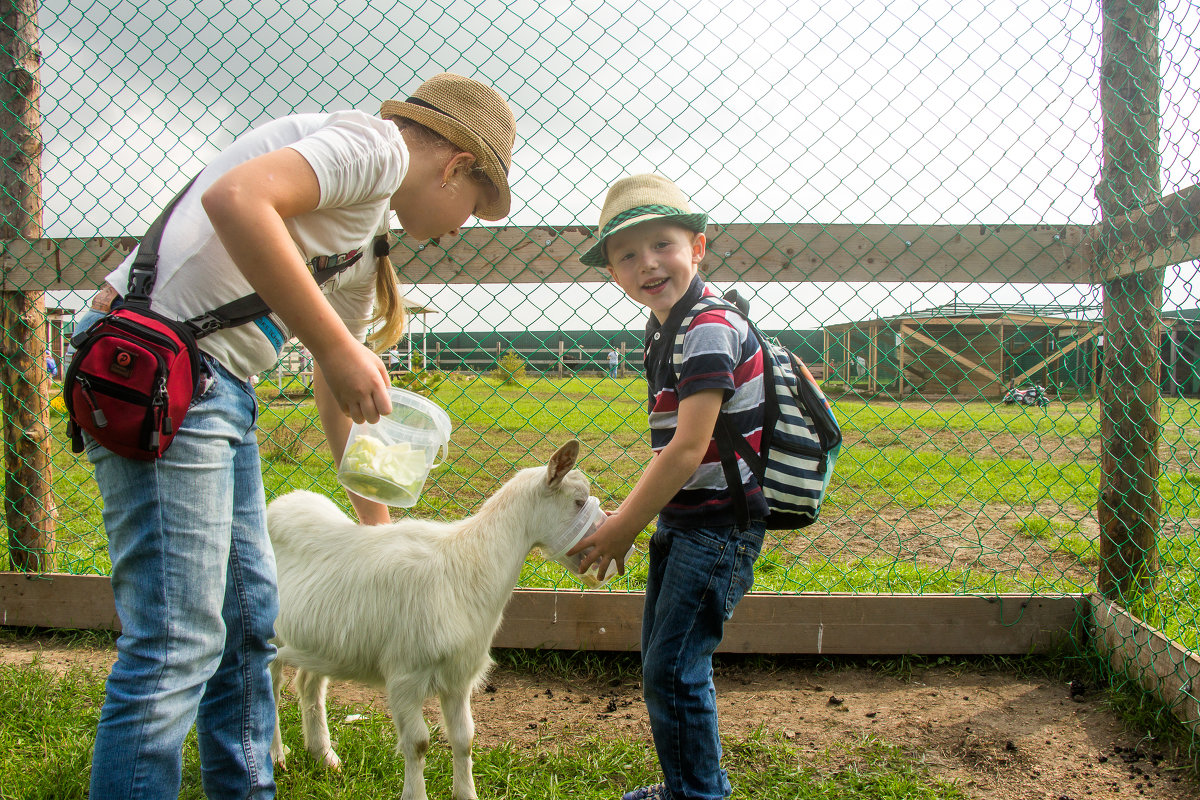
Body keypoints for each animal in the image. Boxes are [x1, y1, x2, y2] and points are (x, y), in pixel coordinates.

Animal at [270, 441, 592, 796]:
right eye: (578, 501)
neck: (467, 562)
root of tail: (282, 502)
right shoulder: (404, 676)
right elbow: (418, 743)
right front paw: (415, 793)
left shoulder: (458, 674)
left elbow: (464, 738)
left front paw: (466, 794)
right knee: (270, 689)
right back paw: (276, 756)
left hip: (320, 640)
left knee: (308, 684)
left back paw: (324, 756)